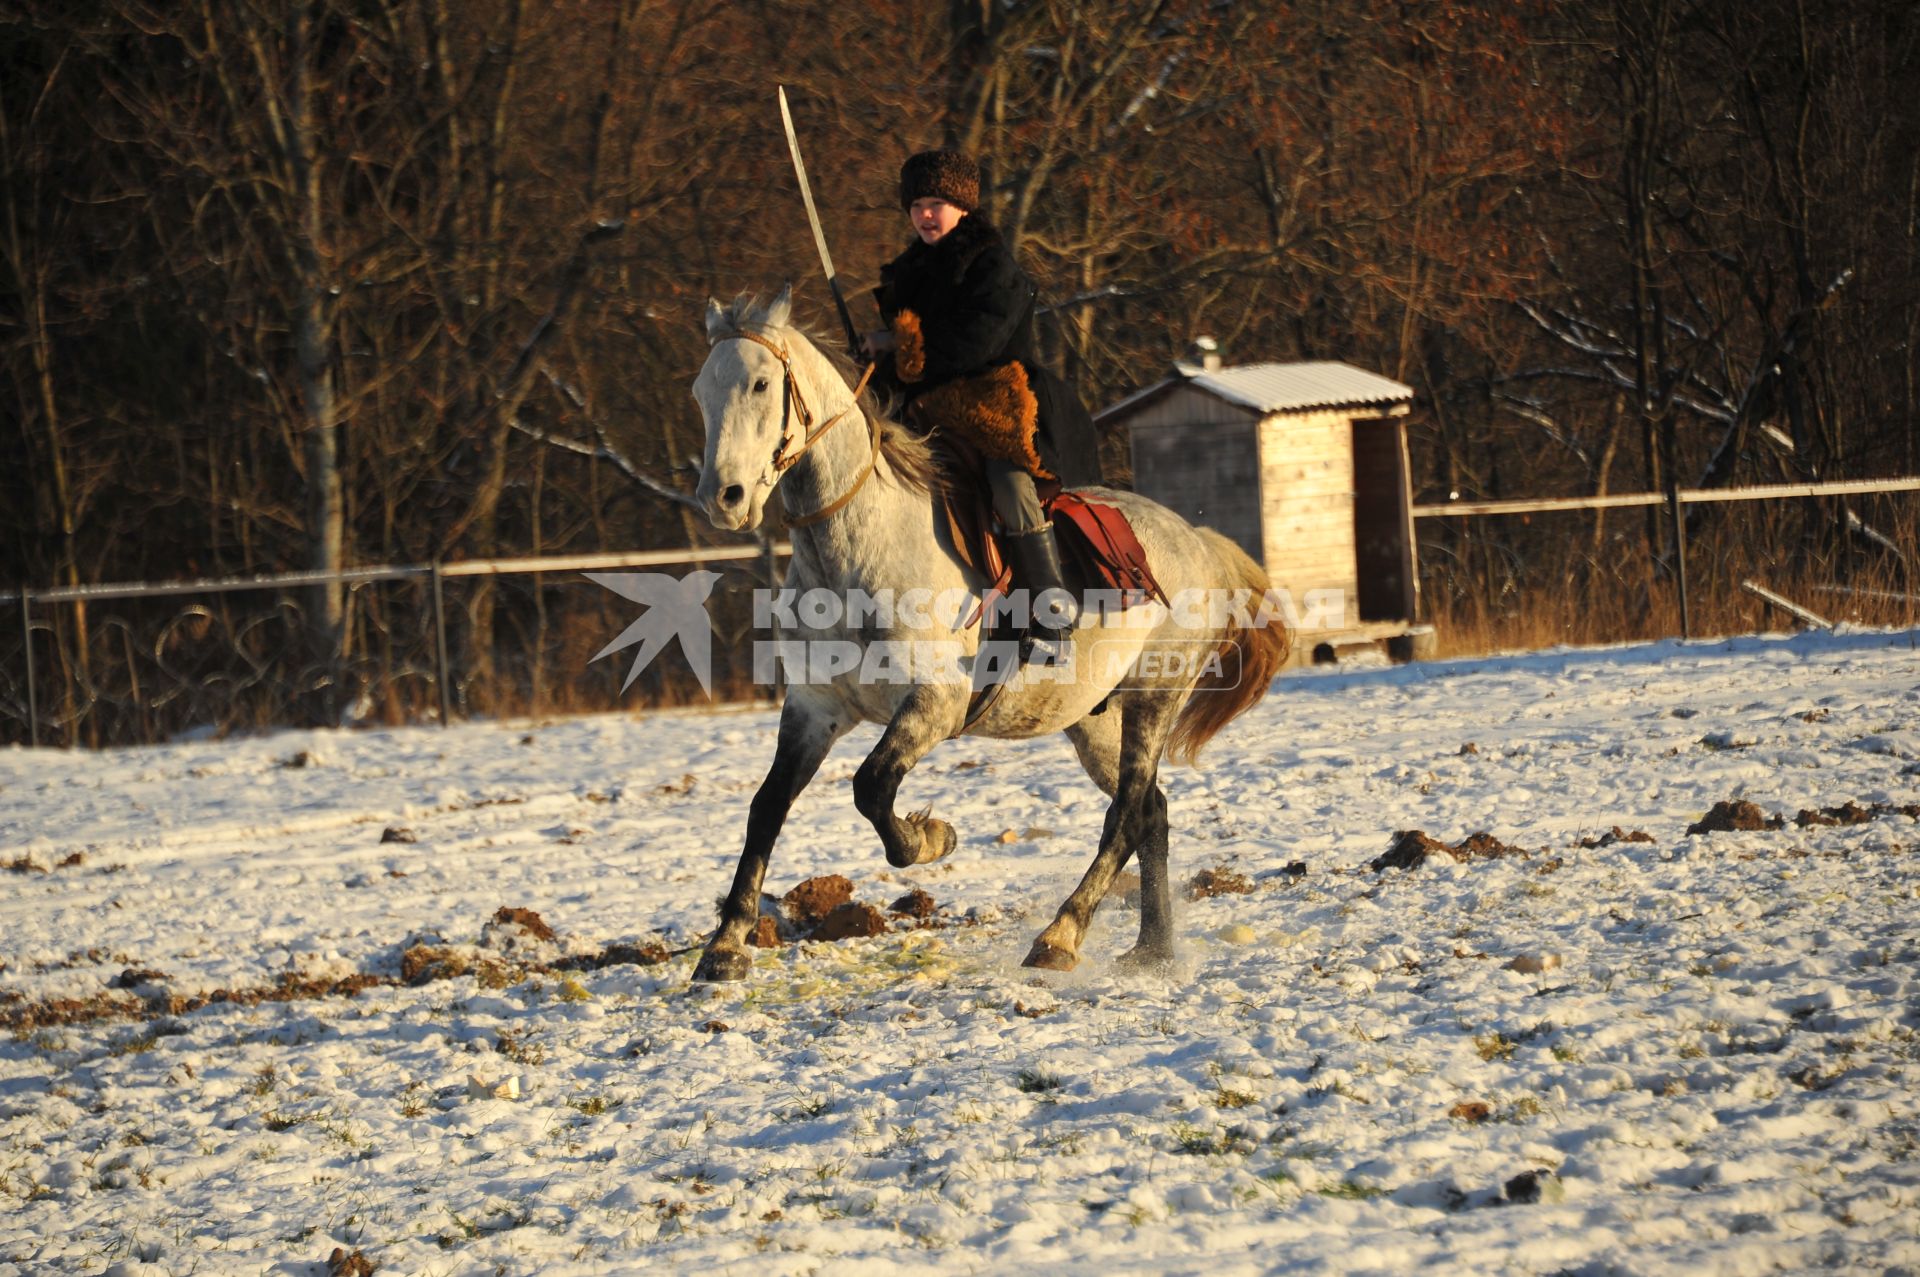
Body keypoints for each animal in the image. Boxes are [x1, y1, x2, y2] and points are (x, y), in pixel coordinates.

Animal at [691, 288, 1290, 979]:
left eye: (761, 383)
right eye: (700, 392)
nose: (723, 497)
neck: (858, 547)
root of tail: (1197, 540)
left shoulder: (935, 703)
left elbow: (871, 786)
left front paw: (931, 837)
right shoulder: (813, 709)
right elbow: (767, 809)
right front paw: (725, 946)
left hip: (1154, 700)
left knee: (1127, 814)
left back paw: (1060, 936)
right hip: (1091, 719)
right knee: (1151, 813)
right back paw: (1152, 948)